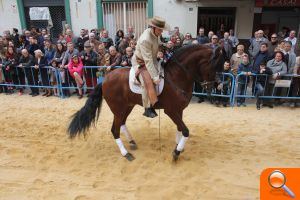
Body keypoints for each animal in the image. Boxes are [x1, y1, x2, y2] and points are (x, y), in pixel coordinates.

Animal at [68, 45, 223, 161]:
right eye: (213, 66)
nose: (213, 86)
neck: (177, 76)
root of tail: (105, 80)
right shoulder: (171, 110)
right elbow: (185, 130)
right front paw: (176, 152)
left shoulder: (179, 110)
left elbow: (180, 128)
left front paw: (178, 145)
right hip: (118, 109)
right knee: (114, 130)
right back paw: (126, 154)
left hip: (127, 107)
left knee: (122, 123)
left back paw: (132, 142)